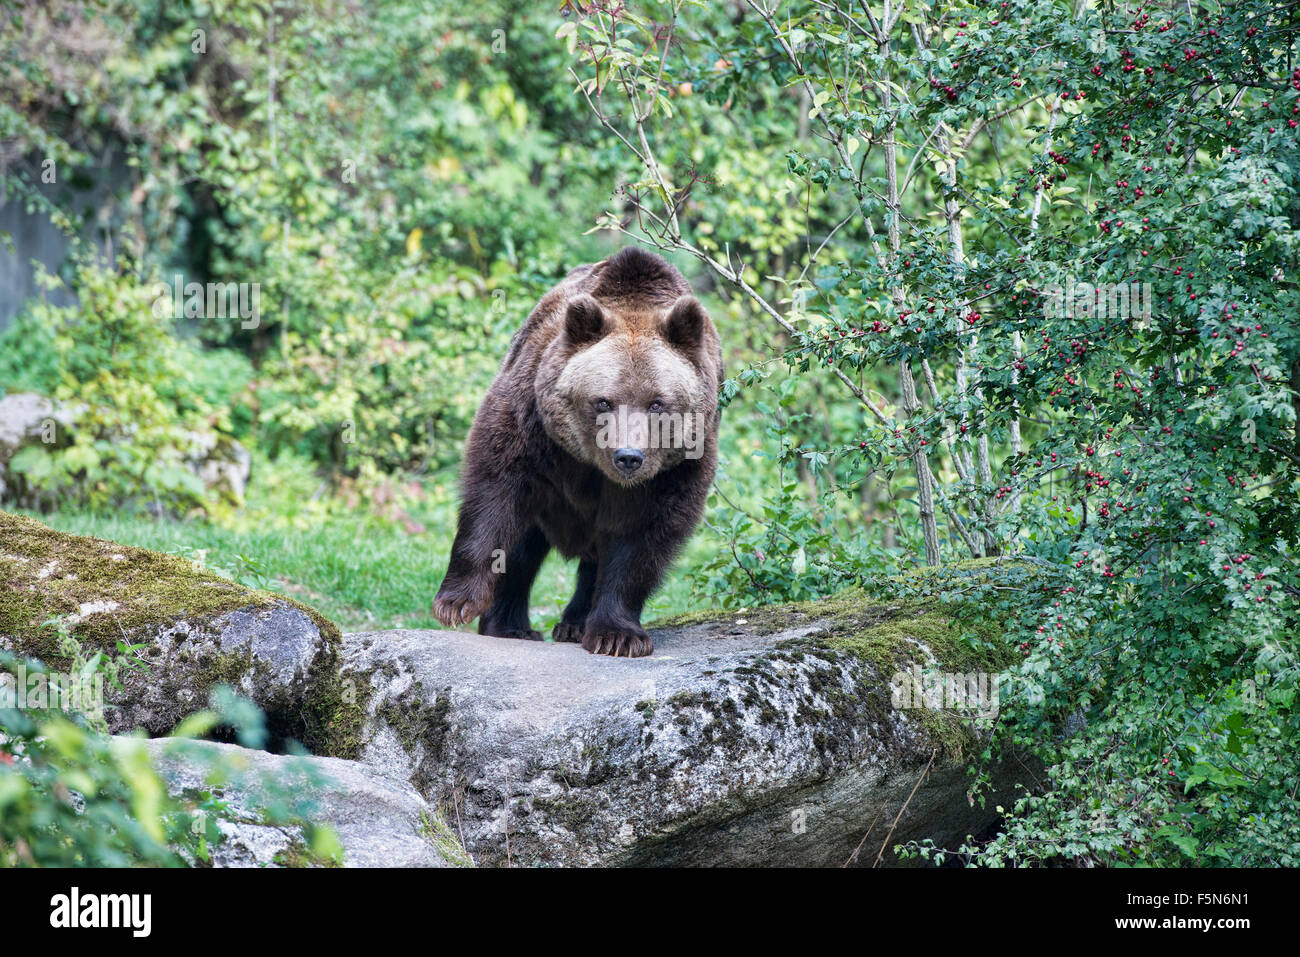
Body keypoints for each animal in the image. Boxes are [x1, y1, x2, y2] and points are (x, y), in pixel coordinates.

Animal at [434, 244, 722, 657]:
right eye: (603, 401)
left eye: (657, 403)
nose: (628, 457)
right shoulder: (533, 426)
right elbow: (494, 491)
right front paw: (456, 603)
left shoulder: (677, 467)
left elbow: (639, 538)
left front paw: (617, 635)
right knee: (522, 546)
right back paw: (510, 625)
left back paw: (574, 622)